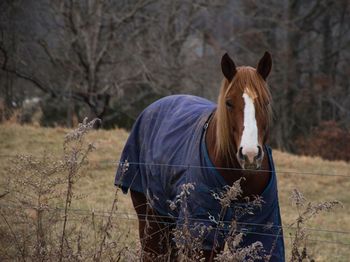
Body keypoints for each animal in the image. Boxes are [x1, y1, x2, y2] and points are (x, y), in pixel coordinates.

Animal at [115, 52, 284, 260]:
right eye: (229, 102)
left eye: (266, 102)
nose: (250, 154)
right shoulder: (202, 236)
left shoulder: (260, 232)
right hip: (152, 218)